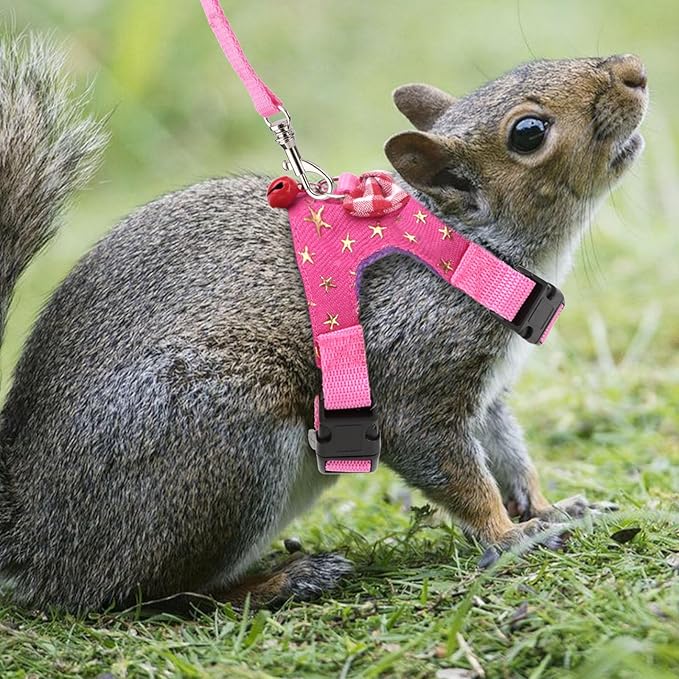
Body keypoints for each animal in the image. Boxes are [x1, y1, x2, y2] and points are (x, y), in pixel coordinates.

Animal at [0, 33, 647, 613]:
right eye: (529, 133)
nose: (634, 70)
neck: (464, 246)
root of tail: (31, 532)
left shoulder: (488, 393)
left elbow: (509, 454)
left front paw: (549, 508)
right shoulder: (413, 366)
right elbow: (450, 467)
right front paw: (510, 536)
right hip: (220, 443)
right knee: (146, 595)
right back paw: (283, 581)